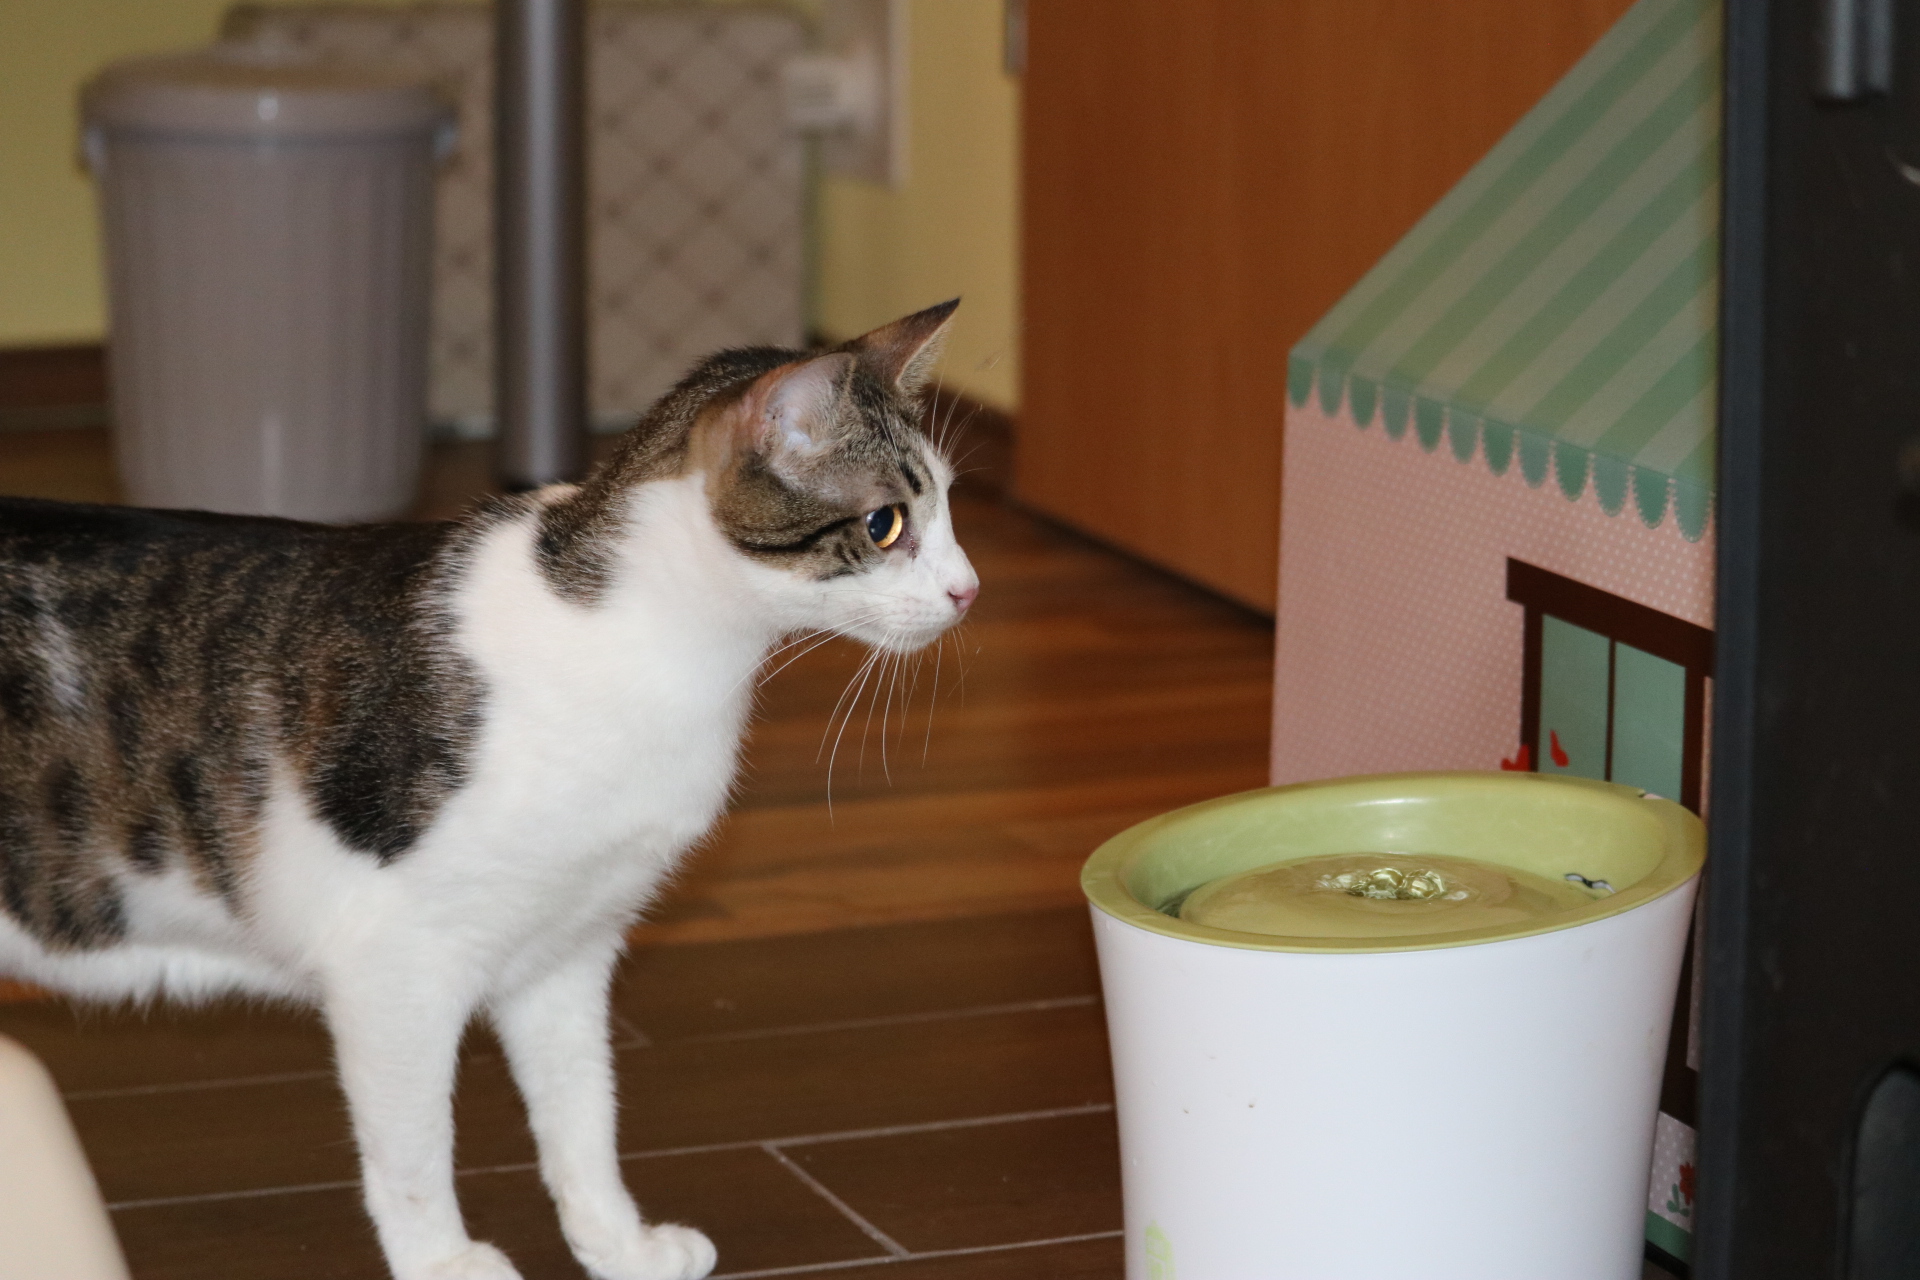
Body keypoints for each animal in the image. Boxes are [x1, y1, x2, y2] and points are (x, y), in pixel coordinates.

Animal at [0, 300, 978, 1280]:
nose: (969, 591)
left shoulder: (569, 945)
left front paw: (616, 1242)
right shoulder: (395, 962)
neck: (662, 649)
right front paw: (443, 1261)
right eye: (886, 524)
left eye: (949, 506)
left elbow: (584, 1110)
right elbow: (413, 1148)